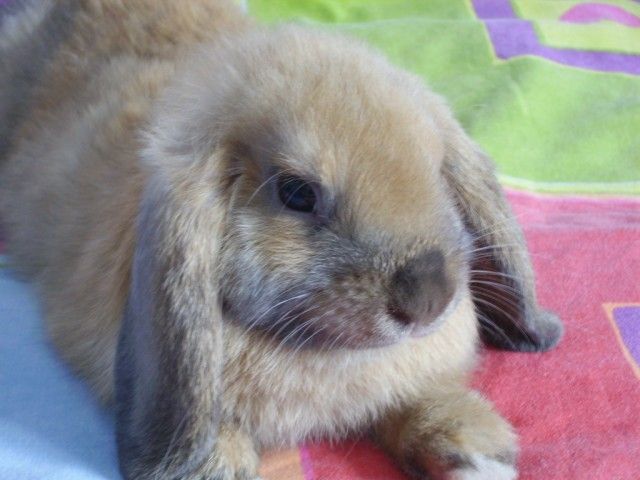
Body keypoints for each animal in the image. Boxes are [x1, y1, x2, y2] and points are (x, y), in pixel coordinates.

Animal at [0, 1, 563, 479]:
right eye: (297, 193)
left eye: (435, 171)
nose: (428, 298)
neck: (323, 354)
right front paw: (217, 464)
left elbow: (416, 401)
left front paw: (472, 450)